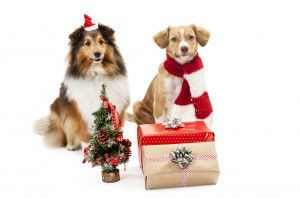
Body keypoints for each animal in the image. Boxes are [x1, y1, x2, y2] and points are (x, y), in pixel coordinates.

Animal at [34, 21, 130, 150]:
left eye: (101, 41)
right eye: (87, 43)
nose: (97, 53)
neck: (96, 73)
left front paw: (114, 146)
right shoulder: (80, 109)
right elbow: (83, 131)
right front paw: (91, 148)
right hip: (58, 111)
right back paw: (72, 145)